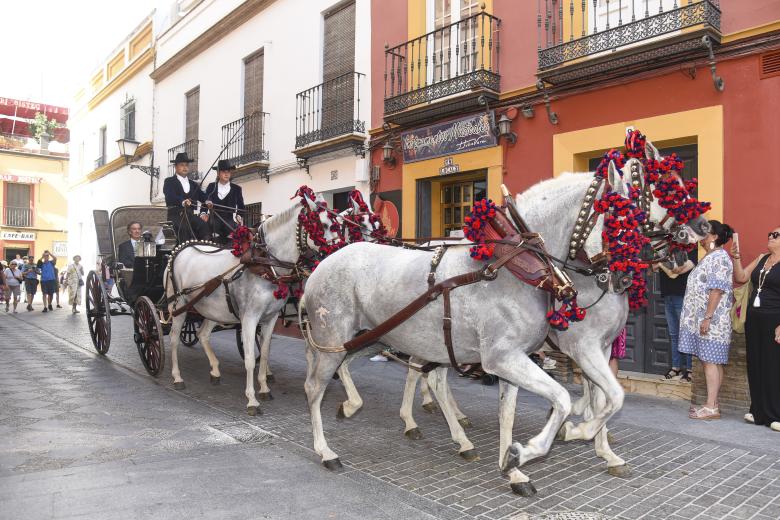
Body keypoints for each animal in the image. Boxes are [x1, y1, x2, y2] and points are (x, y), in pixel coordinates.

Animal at [166, 195, 340, 414]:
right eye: (323, 225)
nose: (339, 253)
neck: (264, 264)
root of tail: (182, 248)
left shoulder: (270, 318)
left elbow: (264, 355)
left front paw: (264, 388)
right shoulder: (249, 318)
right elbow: (249, 359)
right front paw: (251, 400)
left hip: (213, 310)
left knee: (203, 334)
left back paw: (215, 370)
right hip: (179, 305)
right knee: (174, 339)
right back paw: (177, 377)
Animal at [298, 148, 708, 494]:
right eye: (653, 195)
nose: (696, 234)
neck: (524, 267)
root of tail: (321, 267)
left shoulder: (543, 355)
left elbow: (523, 411)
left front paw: (517, 466)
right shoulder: (529, 354)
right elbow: (574, 397)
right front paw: (549, 442)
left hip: (380, 337)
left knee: (420, 376)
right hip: (335, 337)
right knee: (315, 386)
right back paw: (328, 448)